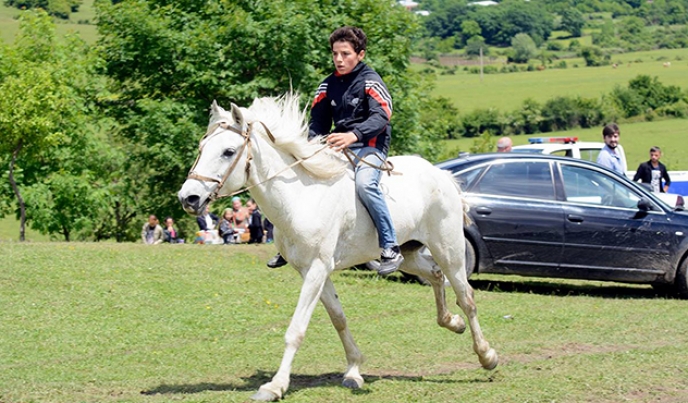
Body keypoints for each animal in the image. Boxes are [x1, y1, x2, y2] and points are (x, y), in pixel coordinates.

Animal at [177, 94, 498, 400]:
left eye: (228, 152)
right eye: (202, 147)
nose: (188, 197)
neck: (300, 197)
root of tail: (441, 174)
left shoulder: (318, 268)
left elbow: (297, 329)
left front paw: (275, 386)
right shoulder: (312, 271)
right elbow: (339, 319)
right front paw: (354, 369)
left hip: (449, 249)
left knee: (466, 296)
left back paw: (486, 354)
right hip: (408, 254)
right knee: (434, 275)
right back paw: (452, 322)